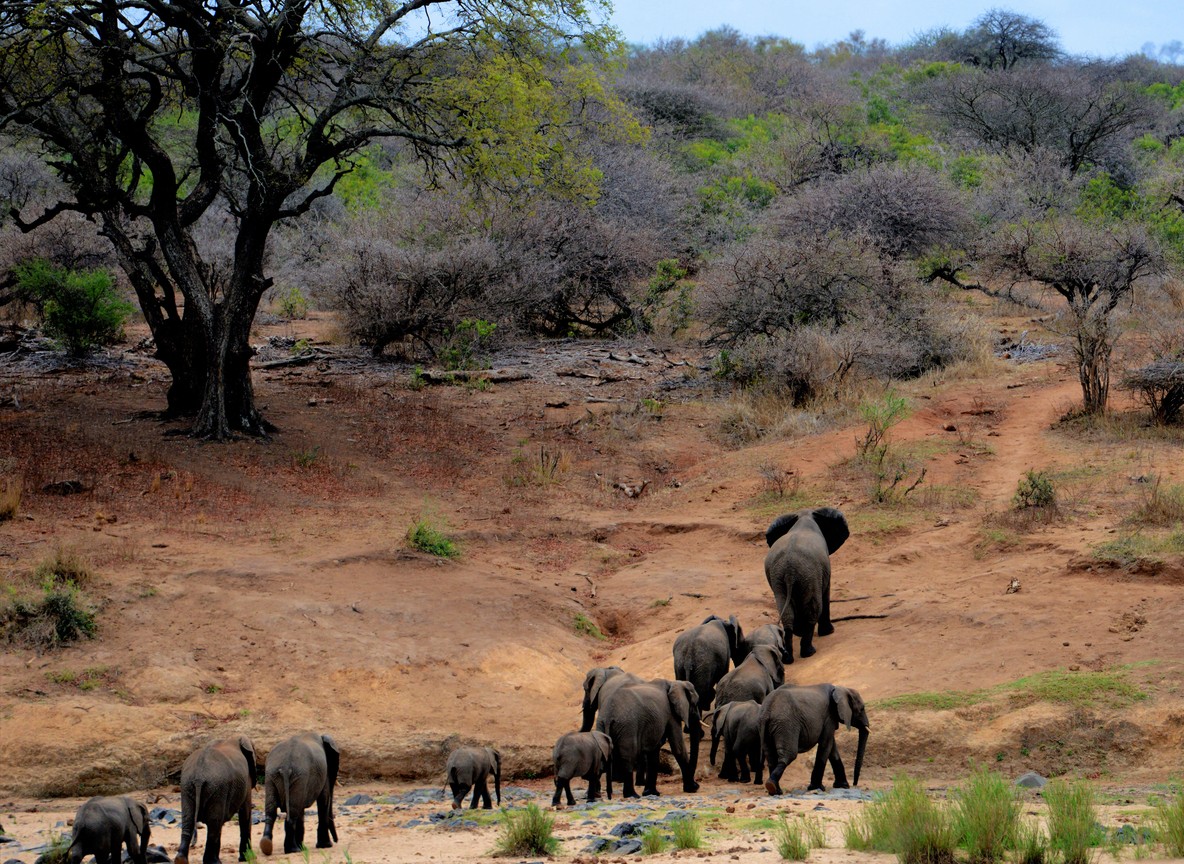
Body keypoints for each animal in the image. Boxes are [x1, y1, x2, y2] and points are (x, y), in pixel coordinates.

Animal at [764, 507, 849, 663]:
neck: (804, 516)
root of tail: (790, 568)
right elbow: (825, 594)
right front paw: (829, 632)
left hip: (779, 577)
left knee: (786, 612)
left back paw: (788, 658)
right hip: (809, 573)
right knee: (814, 608)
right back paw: (809, 652)